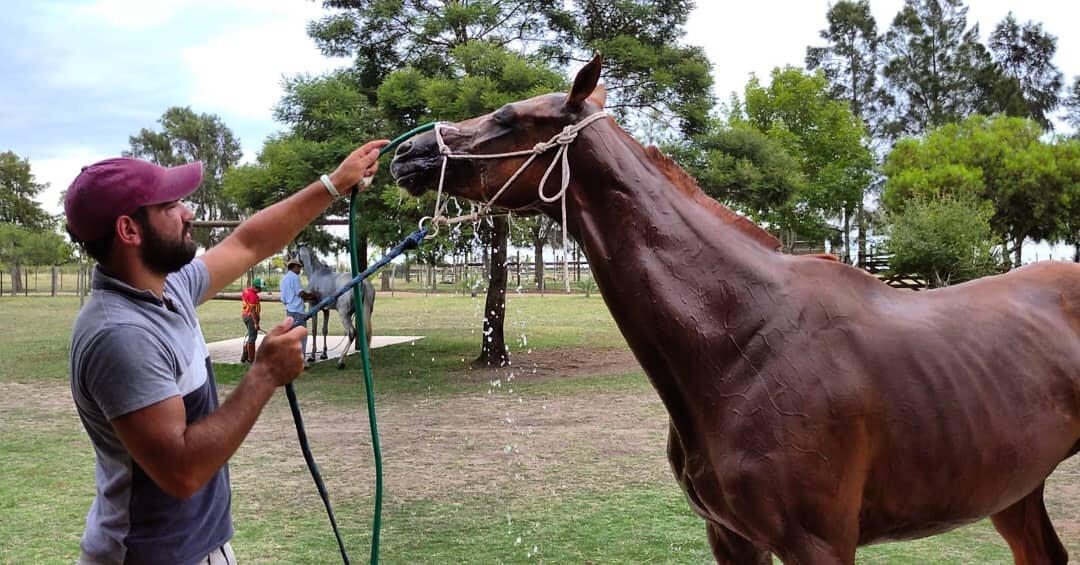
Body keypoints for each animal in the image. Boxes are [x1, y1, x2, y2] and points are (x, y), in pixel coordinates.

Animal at [389, 55, 1080, 564]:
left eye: (510, 118)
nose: (407, 154)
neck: (745, 338)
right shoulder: (731, 537)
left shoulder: (818, 545)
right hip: (1015, 488)